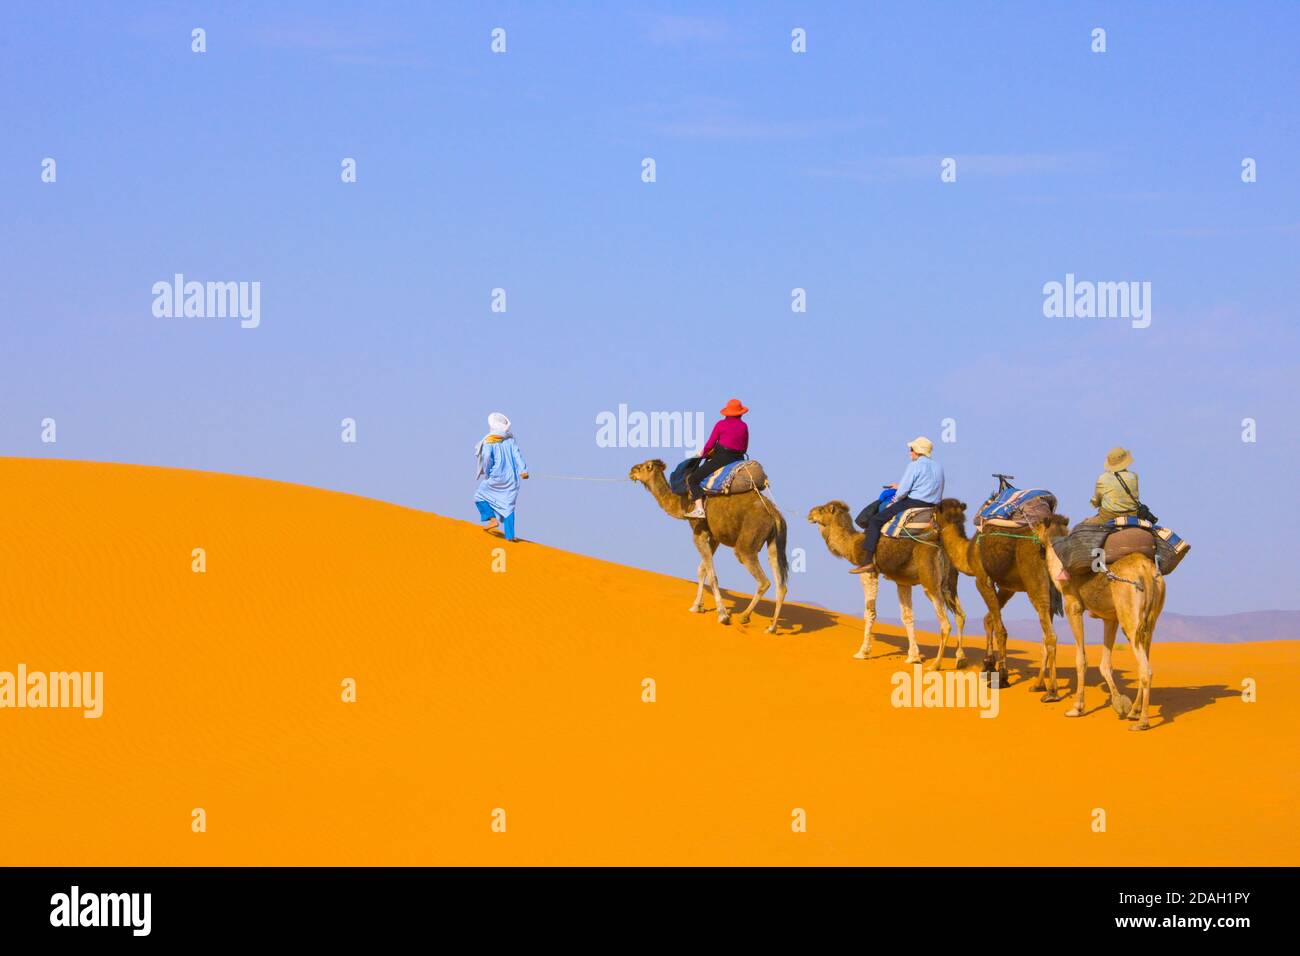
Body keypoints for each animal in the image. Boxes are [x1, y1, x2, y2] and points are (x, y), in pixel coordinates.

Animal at [626, 460, 785, 632]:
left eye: (643, 467)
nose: (631, 471)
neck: (683, 503)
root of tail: (774, 513)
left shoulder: (699, 531)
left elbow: (712, 575)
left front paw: (723, 615)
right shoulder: (714, 537)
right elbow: (702, 570)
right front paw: (696, 606)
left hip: (748, 541)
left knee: (763, 579)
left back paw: (744, 616)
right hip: (775, 542)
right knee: (780, 582)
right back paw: (771, 628)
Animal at [806, 502, 961, 665]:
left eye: (821, 510)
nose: (810, 514)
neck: (852, 544)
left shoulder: (868, 571)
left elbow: (870, 611)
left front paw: (863, 652)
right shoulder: (902, 581)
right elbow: (907, 616)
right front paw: (913, 657)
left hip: (930, 580)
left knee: (945, 623)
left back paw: (936, 665)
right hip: (949, 583)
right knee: (960, 615)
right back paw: (960, 659)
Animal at [941, 502, 1071, 697]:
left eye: (935, 511)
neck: (968, 553)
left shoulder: (982, 579)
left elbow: (1001, 629)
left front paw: (1001, 677)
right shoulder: (1008, 587)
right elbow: (989, 620)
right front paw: (988, 665)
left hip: (1035, 581)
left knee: (1050, 634)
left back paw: (1052, 692)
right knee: (1046, 631)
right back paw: (1038, 685)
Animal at [1034, 522, 1170, 733]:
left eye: (1038, 524)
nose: (1032, 530)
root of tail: (1145, 571)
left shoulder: (1073, 606)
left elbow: (1081, 660)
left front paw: (1076, 708)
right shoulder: (1110, 618)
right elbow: (1106, 664)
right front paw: (1120, 704)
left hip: (1129, 616)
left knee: (1146, 669)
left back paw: (1142, 722)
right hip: (1150, 618)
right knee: (1144, 656)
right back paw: (1134, 711)